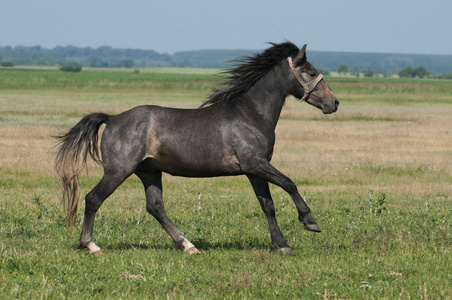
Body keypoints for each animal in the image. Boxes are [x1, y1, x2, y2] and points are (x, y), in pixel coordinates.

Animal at [53, 41, 340, 254]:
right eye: (310, 72)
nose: (334, 102)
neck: (251, 115)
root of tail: (112, 119)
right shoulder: (256, 163)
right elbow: (290, 183)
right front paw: (310, 222)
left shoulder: (254, 171)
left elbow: (267, 205)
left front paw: (281, 245)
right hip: (118, 171)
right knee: (93, 199)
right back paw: (91, 245)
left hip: (149, 172)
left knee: (155, 207)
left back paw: (188, 245)